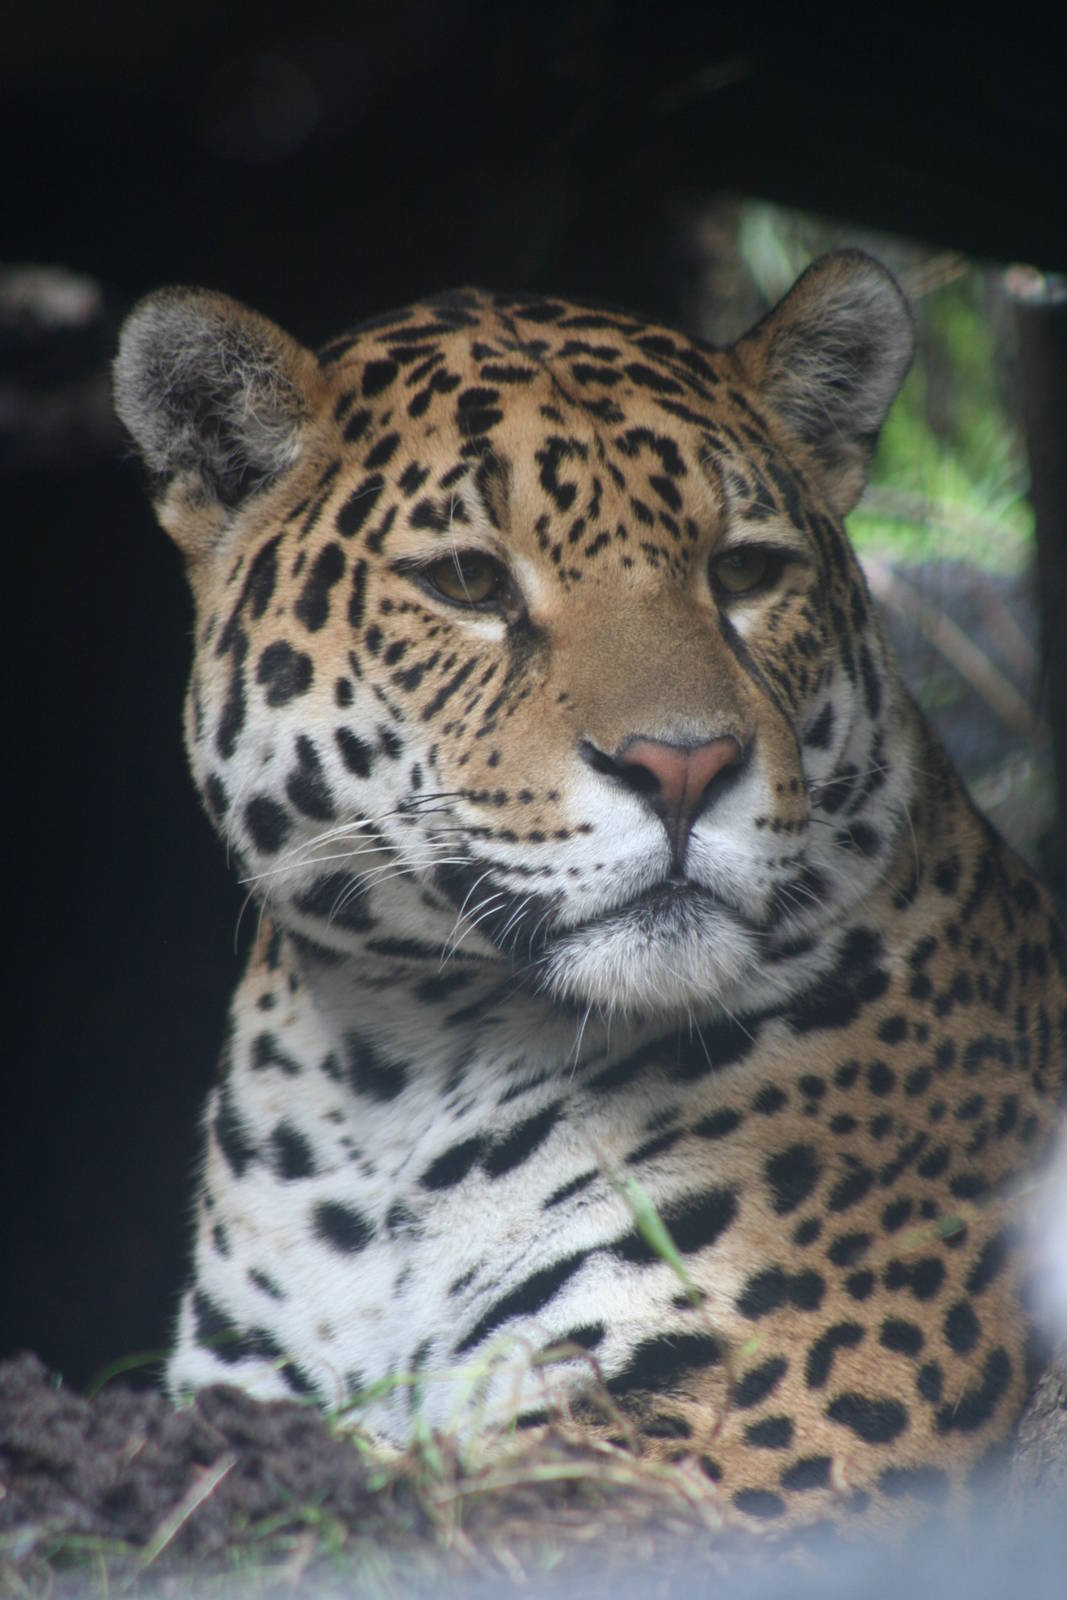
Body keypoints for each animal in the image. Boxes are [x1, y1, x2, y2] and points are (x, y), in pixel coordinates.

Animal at [113, 250, 1066, 1532]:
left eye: (743, 570)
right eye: (468, 580)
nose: (682, 767)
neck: (391, 1072)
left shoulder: (733, 1448)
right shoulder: (252, 1388)